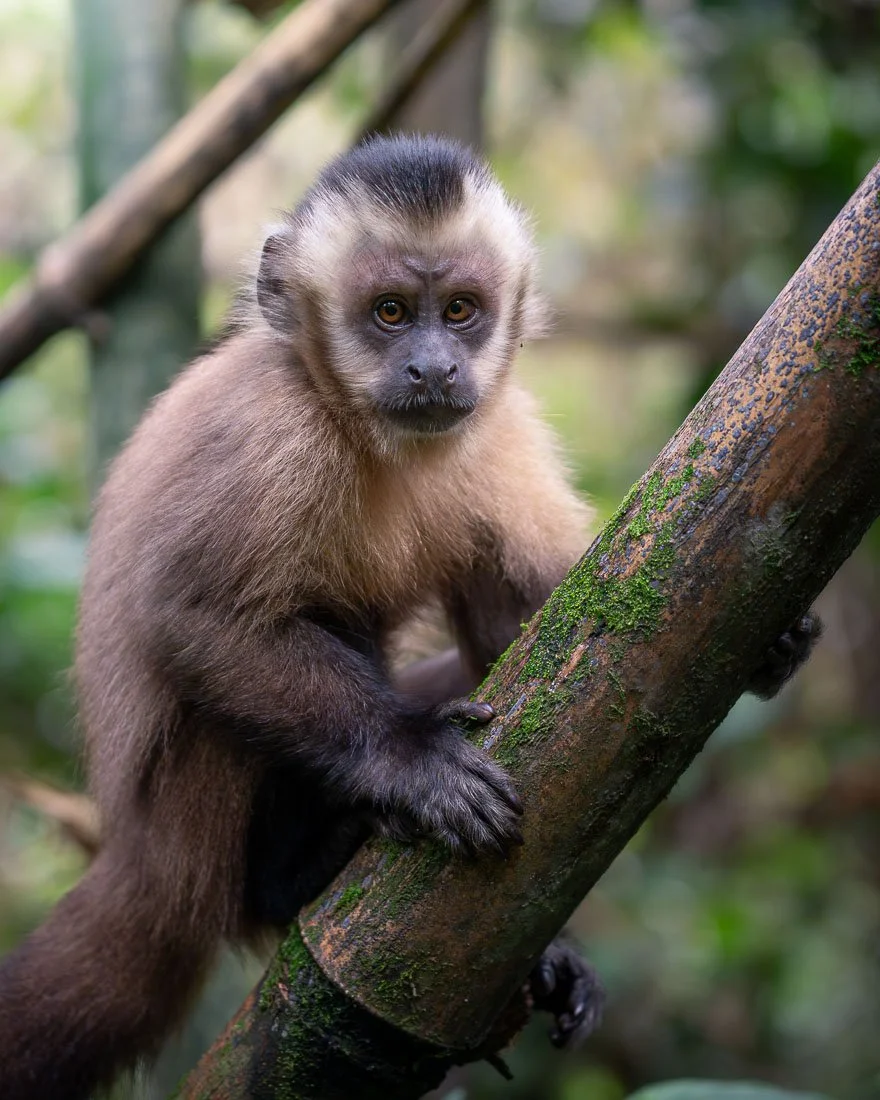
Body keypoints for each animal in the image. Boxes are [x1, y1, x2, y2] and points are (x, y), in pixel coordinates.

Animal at [0, 134, 820, 1099]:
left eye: (460, 312)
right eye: (390, 313)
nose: (434, 366)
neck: (361, 428)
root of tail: (136, 860)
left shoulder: (497, 424)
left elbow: (534, 636)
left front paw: (769, 644)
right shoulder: (270, 433)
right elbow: (192, 616)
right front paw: (409, 758)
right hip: (190, 839)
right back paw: (301, 870)